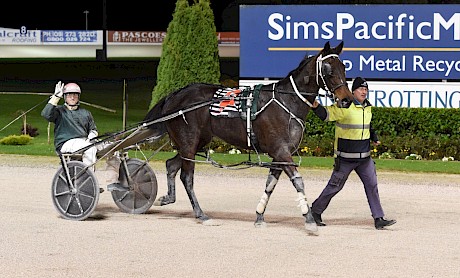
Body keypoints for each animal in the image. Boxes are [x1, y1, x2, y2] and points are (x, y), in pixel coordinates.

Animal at [106, 40, 354, 235]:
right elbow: (298, 181)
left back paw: (168, 197)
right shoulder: (281, 151)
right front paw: (310, 220)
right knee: (187, 177)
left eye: (344, 66)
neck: (286, 102)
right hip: (189, 143)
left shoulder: (280, 154)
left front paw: (259, 217)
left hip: (196, 143)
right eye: (329, 69)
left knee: (171, 164)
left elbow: (270, 184)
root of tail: (175, 95)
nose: (346, 99)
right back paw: (201, 214)